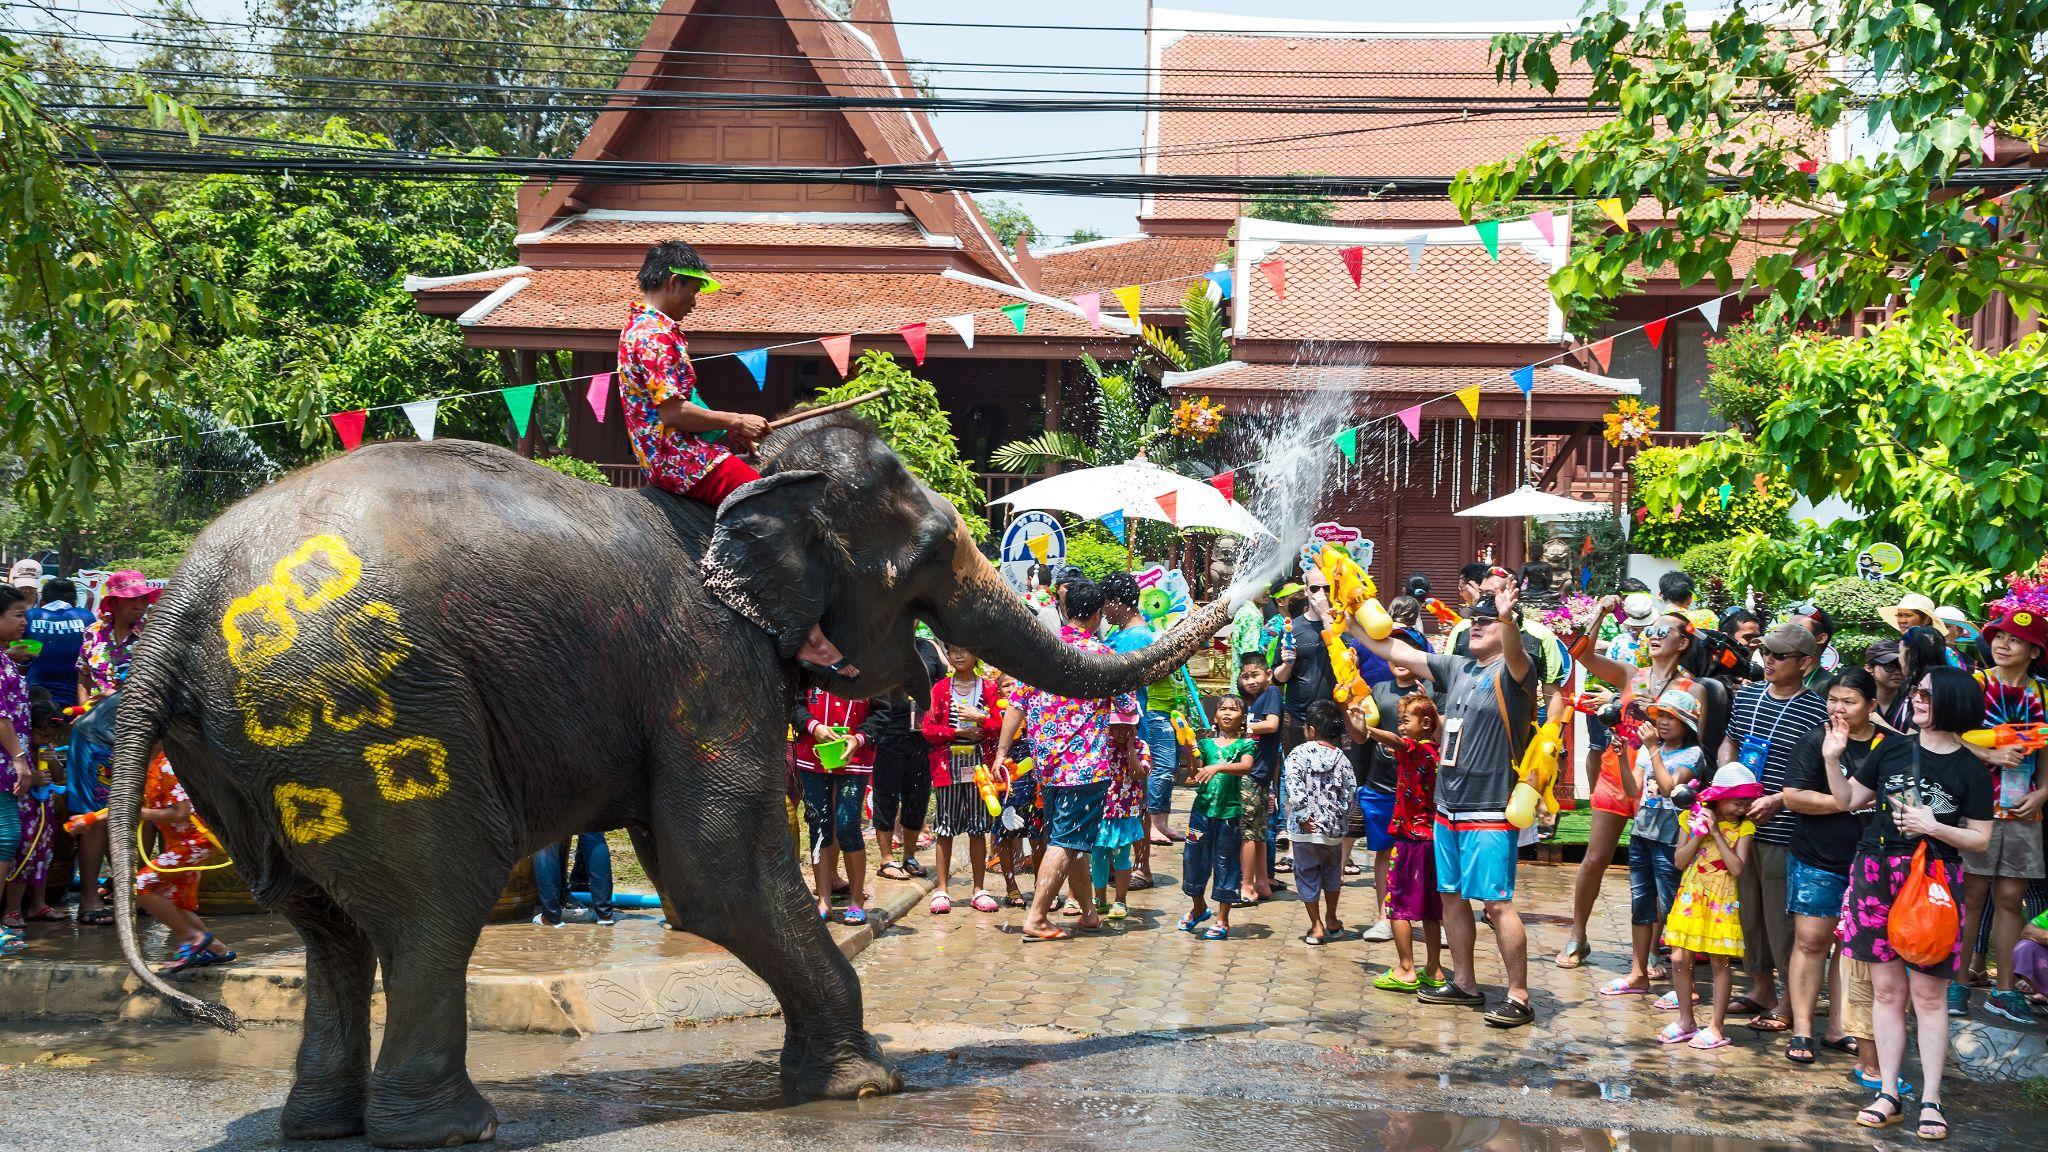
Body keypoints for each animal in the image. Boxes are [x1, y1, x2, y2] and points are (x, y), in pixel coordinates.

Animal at [108, 414, 1228, 1147]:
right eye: (927, 557)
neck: (751, 483)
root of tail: (180, 602)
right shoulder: (707, 658)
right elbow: (712, 872)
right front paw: (866, 1085)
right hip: (364, 713)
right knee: (434, 907)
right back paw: (453, 1130)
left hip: (249, 758)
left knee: (326, 927)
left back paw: (322, 1126)